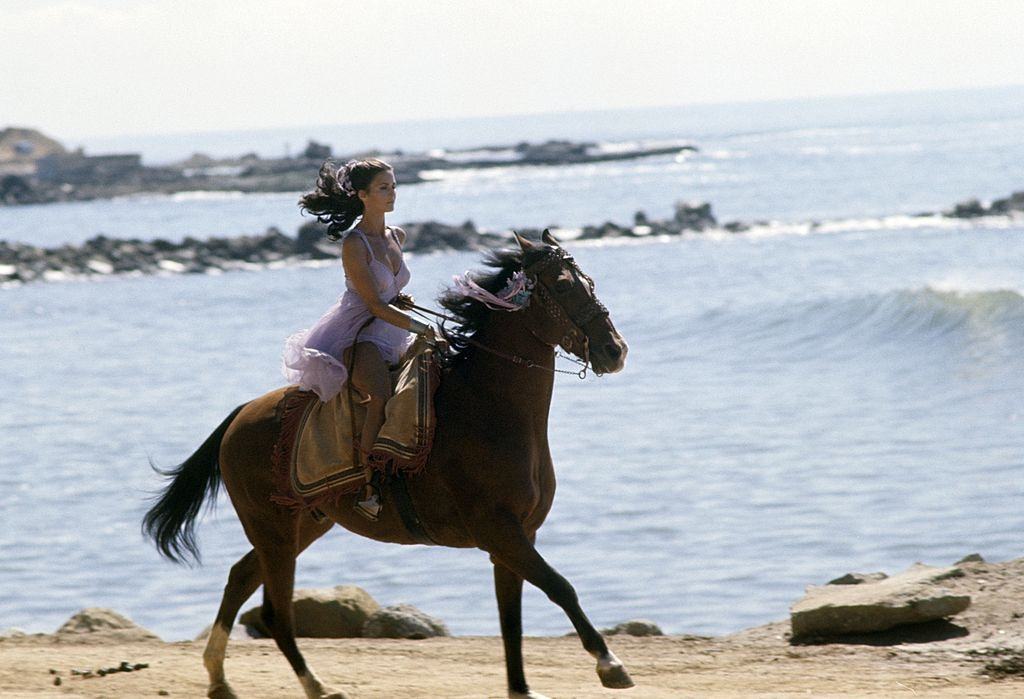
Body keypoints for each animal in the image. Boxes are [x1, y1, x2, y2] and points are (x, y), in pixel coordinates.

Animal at [140, 231, 626, 699]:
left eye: (590, 283)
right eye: (561, 286)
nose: (614, 350)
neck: (486, 407)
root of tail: (241, 415)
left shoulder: (517, 536)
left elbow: (512, 618)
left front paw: (521, 688)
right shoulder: (499, 531)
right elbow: (559, 586)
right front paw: (609, 664)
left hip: (302, 524)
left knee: (240, 578)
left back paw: (219, 678)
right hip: (272, 528)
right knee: (276, 612)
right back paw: (317, 686)